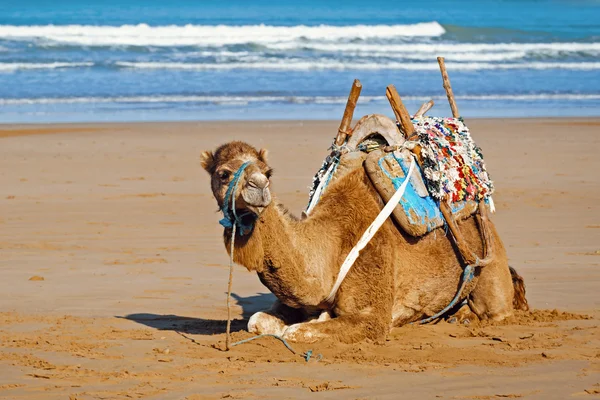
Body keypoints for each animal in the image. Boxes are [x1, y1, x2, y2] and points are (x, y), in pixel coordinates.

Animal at [200, 139, 524, 342]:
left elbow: (296, 332)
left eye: (268, 172)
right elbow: (257, 320)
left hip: (490, 268)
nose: (259, 186)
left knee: (496, 310)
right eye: (224, 173)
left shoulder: (372, 309)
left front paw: (315, 322)